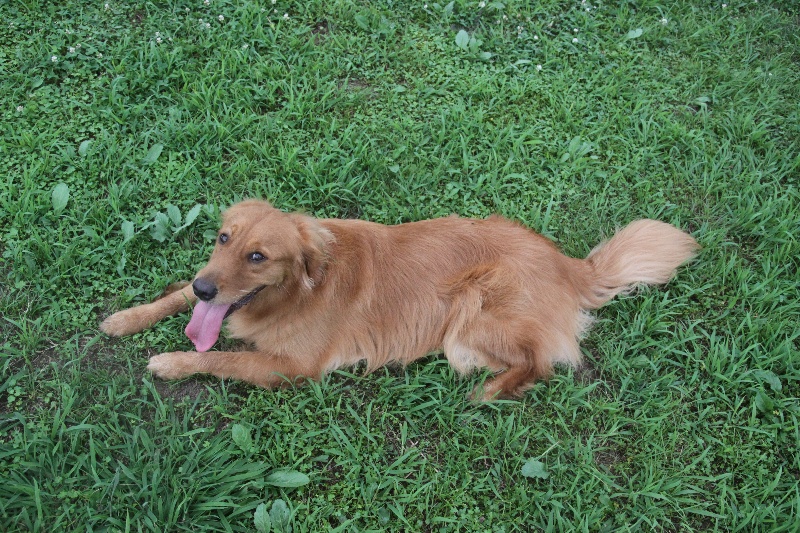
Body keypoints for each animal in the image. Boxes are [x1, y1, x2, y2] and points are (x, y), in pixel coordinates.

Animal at [100, 200, 698, 400]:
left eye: (258, 256)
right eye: (224, 239)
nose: (210, 288)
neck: (297, 291)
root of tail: (567, 262)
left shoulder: (290, 368)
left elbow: (221, 357)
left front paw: (170, 362)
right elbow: (175, 294)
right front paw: (127, 318)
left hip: (471, 320)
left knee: (539, 363)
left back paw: (489, 392)